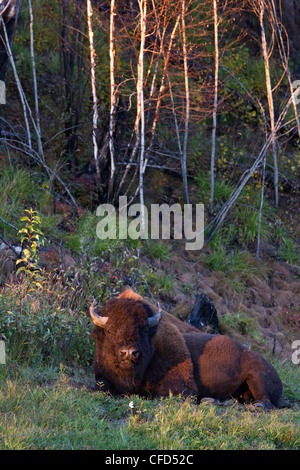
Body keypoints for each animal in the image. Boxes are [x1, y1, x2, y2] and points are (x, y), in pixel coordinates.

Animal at [90, 286, 282, 408]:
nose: (129, 353)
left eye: (144, 330)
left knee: (265, 402)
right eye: (109, 330)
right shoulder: (102, 377)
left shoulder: (181, 387)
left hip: (256, 375)